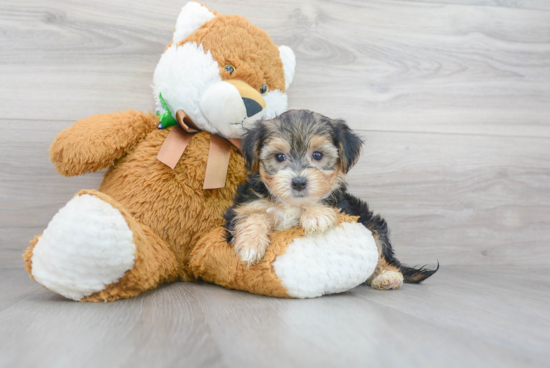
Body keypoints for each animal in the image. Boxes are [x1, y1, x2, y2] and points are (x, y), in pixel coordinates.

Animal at [224, 110, 440, 290]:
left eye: (317, 155)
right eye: (279, 157)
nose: (299, 182)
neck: (293, 204)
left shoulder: (345, 207)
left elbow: (322, 203)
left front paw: (316, 216)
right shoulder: (243, 205)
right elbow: (252, 215)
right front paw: (250, 244)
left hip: (371, 223)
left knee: (380, 254)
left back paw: (387, 276)